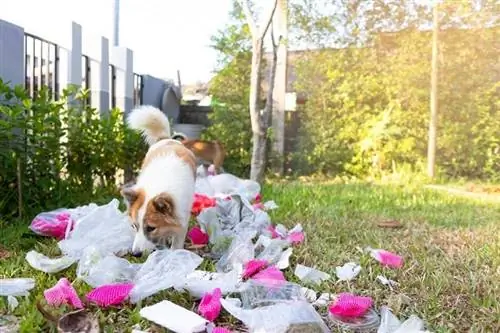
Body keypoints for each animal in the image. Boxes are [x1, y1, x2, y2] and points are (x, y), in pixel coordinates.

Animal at [122, 105, 196, 255]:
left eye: (151, 228)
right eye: (134, 226)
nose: (136, 254)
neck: (157, 188)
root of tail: (166, 139)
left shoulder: (182, 218)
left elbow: (177, 240)